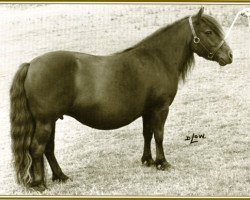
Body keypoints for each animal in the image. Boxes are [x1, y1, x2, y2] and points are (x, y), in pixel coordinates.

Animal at [9, 7, 232, 191]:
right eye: (209, 32)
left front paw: (147, 160)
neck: (157, 59)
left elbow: (147, 134)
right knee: (37, 149)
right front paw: (162, 163)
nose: (229, 55)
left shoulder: (147, 110)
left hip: (50, 121)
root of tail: (31, 65)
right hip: (45, 121)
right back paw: (39, 184)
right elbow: (159, 135)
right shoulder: (160, 108)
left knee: (48, 148)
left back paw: (60, 176)